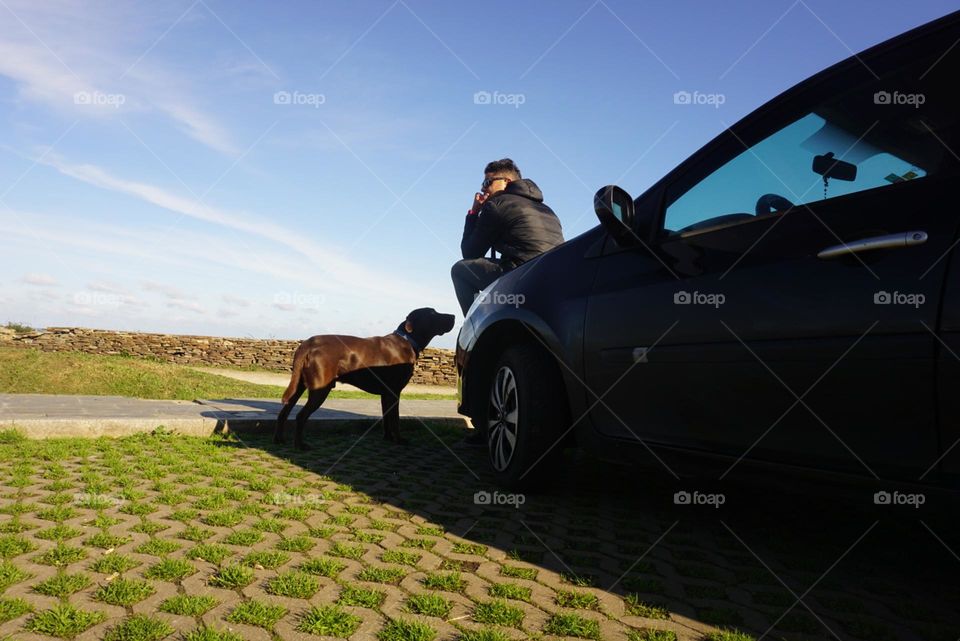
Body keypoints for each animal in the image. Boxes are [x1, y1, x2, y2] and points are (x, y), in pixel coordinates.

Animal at [276, 308, 456, 448]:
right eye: (432, 313)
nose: (453, 316)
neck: (408, 340)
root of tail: (308, 343)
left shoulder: (386, 394)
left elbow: (386, 419)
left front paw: (388, 438)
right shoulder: (394, 392)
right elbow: (395, 419)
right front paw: (398, 439)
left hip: (299, 386)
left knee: (284, 412)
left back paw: (280, 440)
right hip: (320, 389)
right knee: (301, 416)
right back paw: (300, 445)